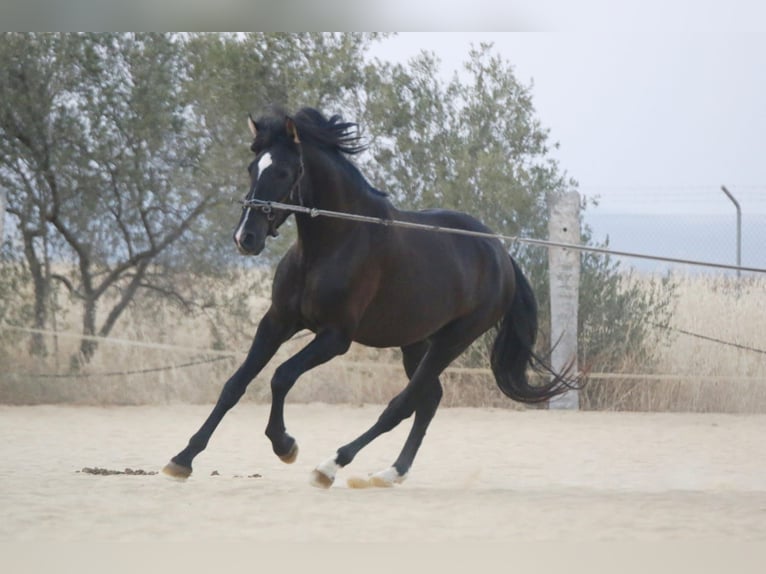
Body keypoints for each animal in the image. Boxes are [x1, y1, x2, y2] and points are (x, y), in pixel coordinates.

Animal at [162, 106, 576, 488]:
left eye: (282, 172)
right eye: (252, 168)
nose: (245, 238)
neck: (330, 246)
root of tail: (500, 255)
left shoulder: (335, 337)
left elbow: (281, 377)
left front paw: (285, 445)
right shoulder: (278, 320)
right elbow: (235, 384)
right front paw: (182, 459)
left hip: (453, 340)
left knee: (402, 404)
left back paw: (332, 466)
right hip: (416, 341)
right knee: (429, 399)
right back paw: (390, 473)